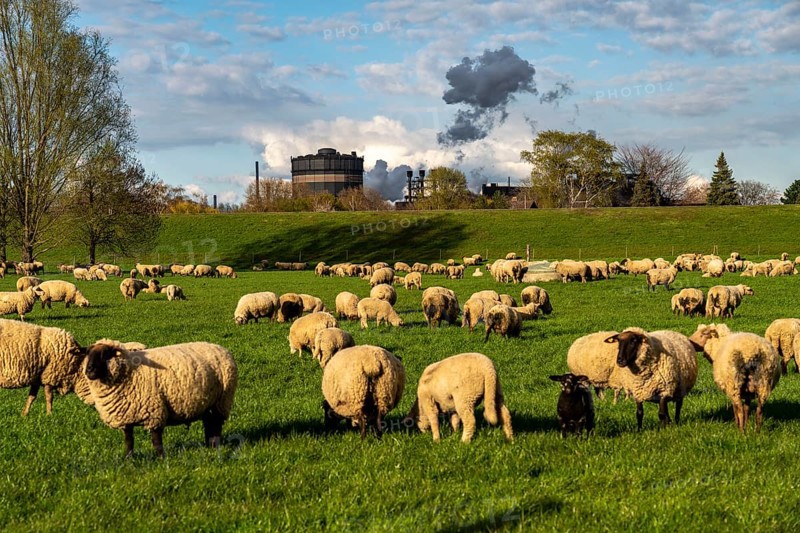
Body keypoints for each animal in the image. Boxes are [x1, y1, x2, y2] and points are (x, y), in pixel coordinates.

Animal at [82, 340, 238, 457]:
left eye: (105, 354)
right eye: (88, 354)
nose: (89, 370)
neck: (129, 372)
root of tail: (222, 348)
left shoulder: (154, 411)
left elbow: (156, 440)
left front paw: (161, 459)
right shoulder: (126, 417)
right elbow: (129, 441)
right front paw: (128, 458)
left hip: (222, 402)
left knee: (216, 426)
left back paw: (215, 447)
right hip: (208, 404)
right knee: (208, 424)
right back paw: (209, 446)